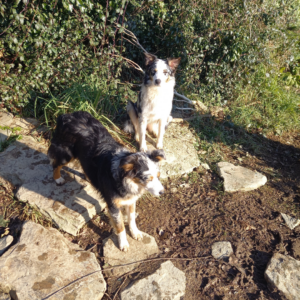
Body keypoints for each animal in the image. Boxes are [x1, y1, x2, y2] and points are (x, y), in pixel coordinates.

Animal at [48, 111, 165, 252]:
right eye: (148, 178)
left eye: (158, 176)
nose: (162, 192)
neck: (129, 181)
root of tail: (66, 115)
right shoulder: (113, 205)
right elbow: (120, 226)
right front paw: (123, 244)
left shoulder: (131, 199)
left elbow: (131, 218)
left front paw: (135, 233)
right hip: (66, 153)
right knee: (56, 164)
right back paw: (58, 178)